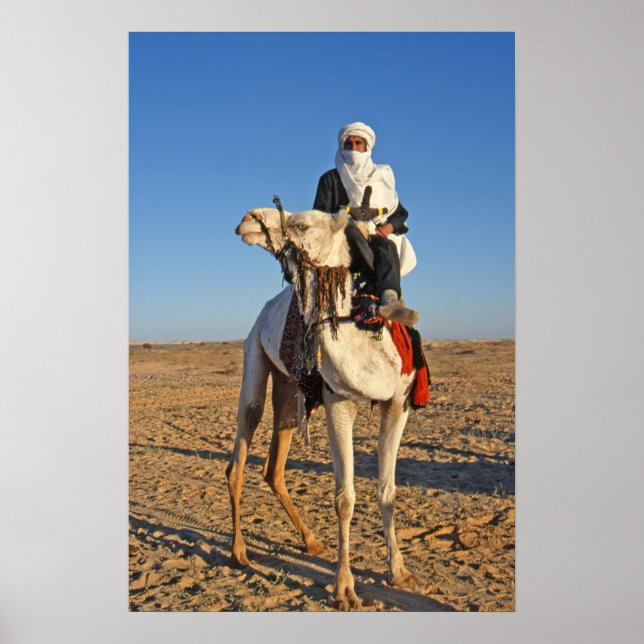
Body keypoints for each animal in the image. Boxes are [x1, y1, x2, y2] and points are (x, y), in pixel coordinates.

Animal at [226, 207, 423, 609]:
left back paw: (311, 541)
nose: (248, 219)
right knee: (240, 450)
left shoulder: (398, 404)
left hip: (289, 388)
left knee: (274, 466)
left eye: (301, 224)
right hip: (254, 352)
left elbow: (388, 491)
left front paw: (399, 571)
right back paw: (239, 552)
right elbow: (344, 499)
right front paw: (344, 588)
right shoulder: (338, 403)